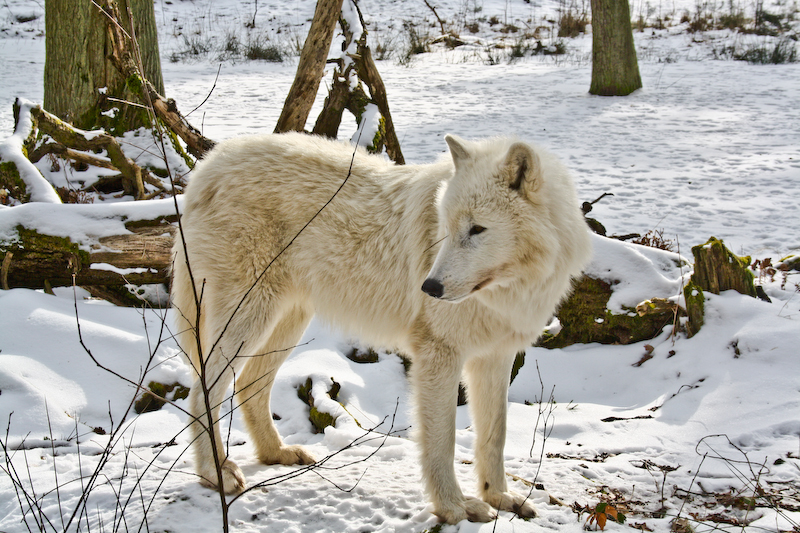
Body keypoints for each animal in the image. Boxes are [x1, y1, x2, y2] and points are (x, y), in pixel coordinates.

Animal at [171, 132, 591, 524]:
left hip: (286, 322)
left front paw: (499, 497)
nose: (429, 288)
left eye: (477, 229)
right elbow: (442, 441)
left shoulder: (495, 357)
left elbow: (494, 436)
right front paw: (454, 508)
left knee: (247, 385)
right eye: (447, 226)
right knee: (204, 387)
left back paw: (276, 453)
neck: (508, 290)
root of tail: (208, 166)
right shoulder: (438, 355)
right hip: (248, 318)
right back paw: (215, 473)